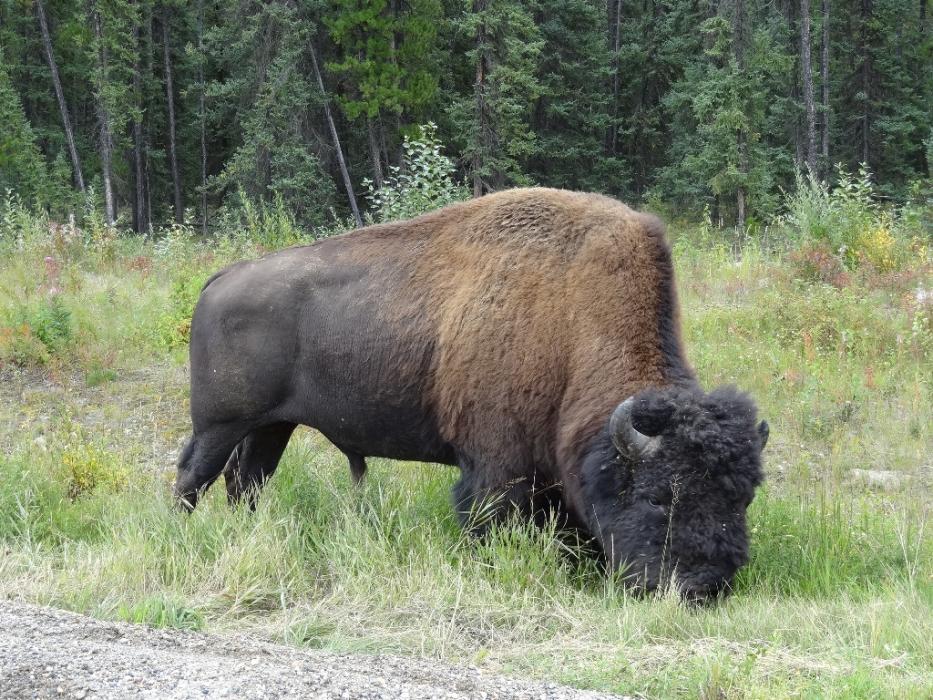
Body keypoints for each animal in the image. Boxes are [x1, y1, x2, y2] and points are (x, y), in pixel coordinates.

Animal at [174, 188, 768, 603]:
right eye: (658, 497)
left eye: (742, 498)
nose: (703, 587)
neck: (573, 324)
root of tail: (222, 277)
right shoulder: (496, 466)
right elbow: (489, 519)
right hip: (220, 424)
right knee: (194, 475)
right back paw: (183, 535)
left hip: (271, 426)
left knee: (246, 481)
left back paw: (246, 534)